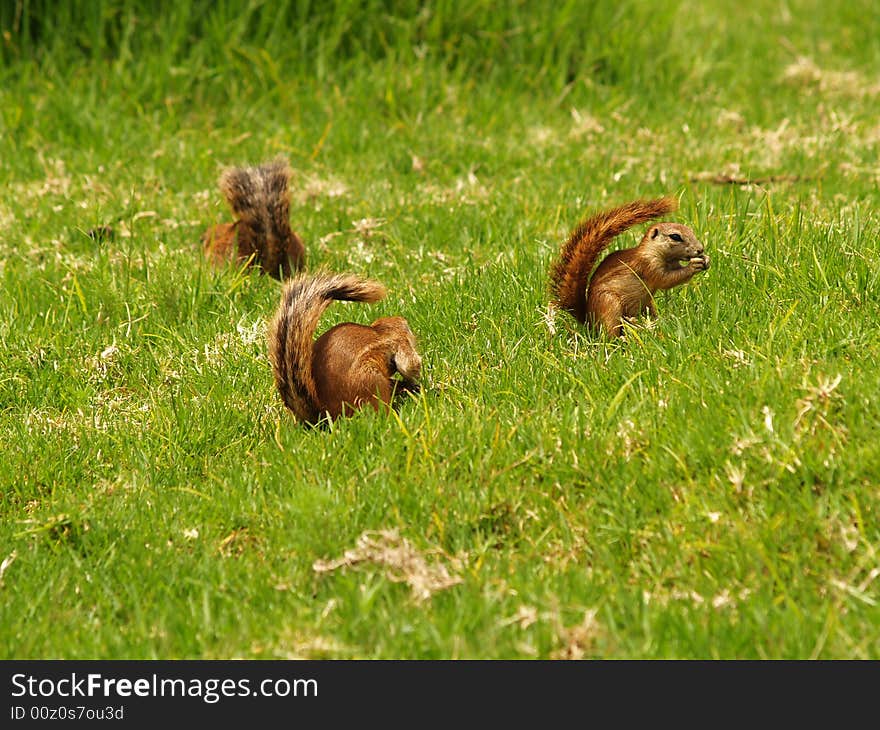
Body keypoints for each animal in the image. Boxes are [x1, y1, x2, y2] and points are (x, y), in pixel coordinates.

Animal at [266, 270, 422, 424]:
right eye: (409, 330)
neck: (382, 330)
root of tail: (323, 414)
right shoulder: (400, 343)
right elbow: (410, 365)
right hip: (372, 382)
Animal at [552, 198, 708, 336]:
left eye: (691, 231)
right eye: (675, 236)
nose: (700, 249)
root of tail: (589, 321)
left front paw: (706, 259)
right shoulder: (648, 265)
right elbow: (666, 280)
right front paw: (693, 266)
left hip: (647, 305)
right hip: (609, 304)